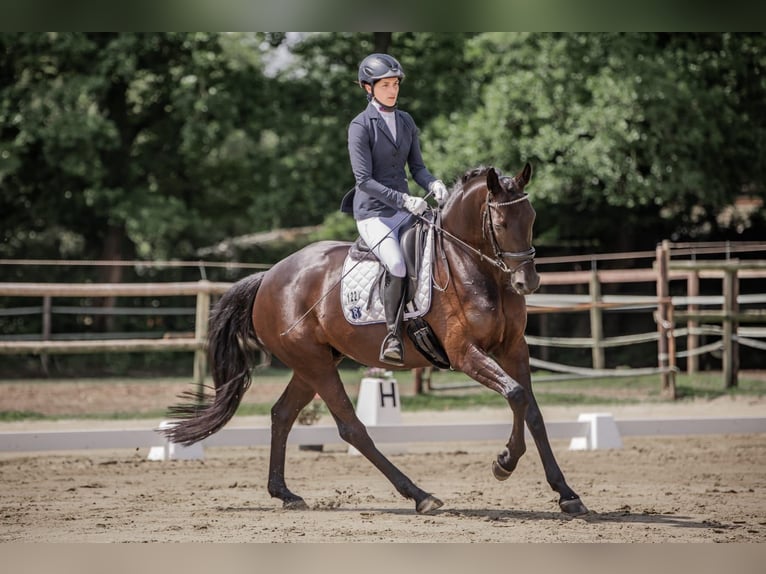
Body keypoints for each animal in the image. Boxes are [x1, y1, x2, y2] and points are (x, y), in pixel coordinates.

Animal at [166, 164, 588, 520]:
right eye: (499, 221)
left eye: (531, 218)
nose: (526, 282)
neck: (473, 267)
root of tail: (269, 276)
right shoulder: (465, 354)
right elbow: (515, 394)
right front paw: (505, 462)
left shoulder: (513, 348)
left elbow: (531, 409)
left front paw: (566, 494)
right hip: (315, 364)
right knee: (352, 428)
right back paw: (420, 495)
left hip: (315, 363)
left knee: (282, 414)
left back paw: (284, 493)